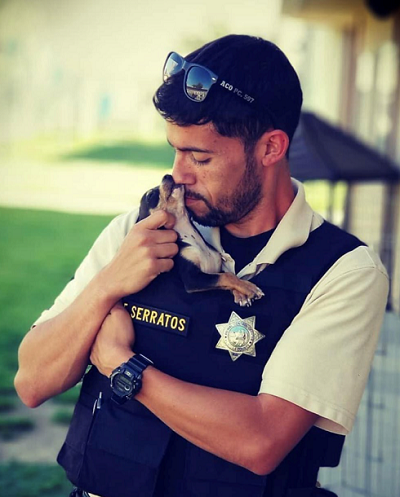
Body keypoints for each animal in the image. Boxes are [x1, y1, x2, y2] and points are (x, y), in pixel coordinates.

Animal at [139, 174, 264, 306]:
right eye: (150, 195)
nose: (167, 175)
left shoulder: (214, 270)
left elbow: (227, 275)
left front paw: (241, 293)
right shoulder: (192, 278)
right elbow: (227, 276)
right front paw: (249, 288)